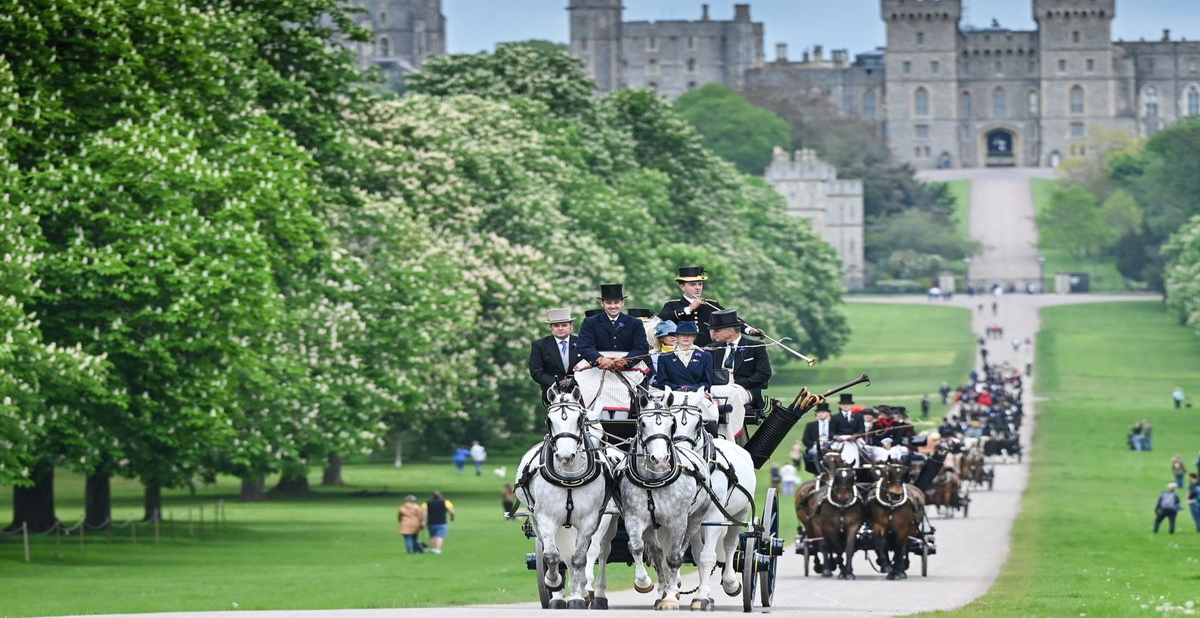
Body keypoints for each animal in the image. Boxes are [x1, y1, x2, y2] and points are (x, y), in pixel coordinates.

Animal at [513, 391, 614, 609]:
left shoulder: (591, 520)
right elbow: (552, 556)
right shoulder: (547, 519)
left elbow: (579, 558)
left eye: (579, 420)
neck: (569, 477)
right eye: (549, 420)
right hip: (540, 519)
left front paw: (577, 596)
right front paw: (554, 583)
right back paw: (559, 596)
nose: (566, 456)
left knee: (601, 551)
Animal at [619, 405, 710, 609]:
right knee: (658, 553)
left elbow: (675, 558)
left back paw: (674, 588)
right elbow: (636, 547)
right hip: (653, 526)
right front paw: (643, 583)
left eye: (671, 424)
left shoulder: (678, 521)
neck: (654, 481)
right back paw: (662, 588)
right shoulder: (633, 518)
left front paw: (670, 596)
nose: (660, 459)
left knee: (681, 549)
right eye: (643, 424)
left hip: (695, 519)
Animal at [672, 391, 753, 609]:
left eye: (698, 423)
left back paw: (731, 583)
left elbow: (709, 555)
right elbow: (689, 553)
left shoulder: (715, 515)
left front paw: (702, 596)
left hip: (739, 513)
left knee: (730, 544)